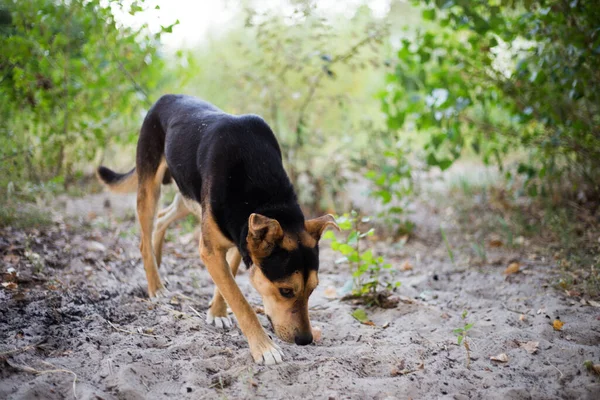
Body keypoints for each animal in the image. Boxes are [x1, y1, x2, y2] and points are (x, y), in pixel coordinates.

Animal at [99, 95, 342, 364]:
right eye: (286, 291)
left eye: (313, 289)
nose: (306, 340)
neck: (268, 200)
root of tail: (166, 97)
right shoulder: (213, 248)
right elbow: (240, 301)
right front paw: (264, 348)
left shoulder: (239, 236)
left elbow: (229, 279)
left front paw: (217, 312)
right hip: (150, 186)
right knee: (145, 234)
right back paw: (155, 285)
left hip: (189, 195)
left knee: (162, 218)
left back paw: (158, 259)